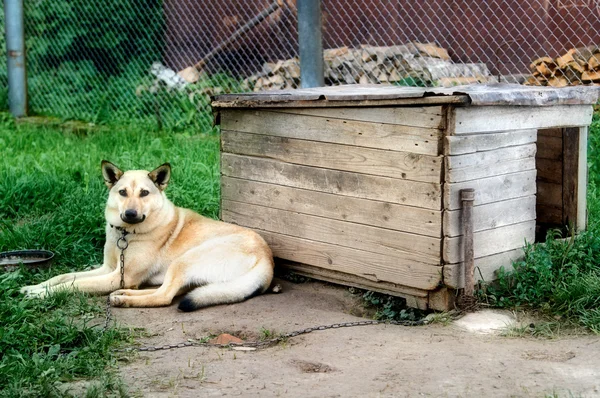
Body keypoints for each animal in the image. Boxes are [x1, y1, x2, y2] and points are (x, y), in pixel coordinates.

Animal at [20, 161, 274, 310]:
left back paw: (124, 299)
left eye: (144, 193)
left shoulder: (118, 275)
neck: (125, 234)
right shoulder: (108, 269)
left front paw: (42, 294)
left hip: (184, 260)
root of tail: (267, 260)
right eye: (122, 192)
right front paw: (34, 287)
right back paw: (124, 294)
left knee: (165, 297)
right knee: (167, 291)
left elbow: (73, 285)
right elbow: (63, 277)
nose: (130, 214)